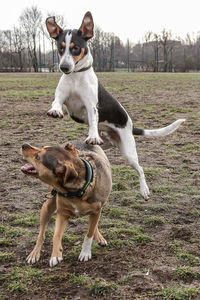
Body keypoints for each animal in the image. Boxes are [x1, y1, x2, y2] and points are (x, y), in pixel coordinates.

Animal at [45, 11, 184, 200]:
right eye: (61, 48)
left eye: (75, 48)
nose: (64, 67)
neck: (75, 76)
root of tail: (129, 126)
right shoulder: (63, 98)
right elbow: (57, 102)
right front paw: (55, 110)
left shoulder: (91, 106)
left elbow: (93, 119)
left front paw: (93, 134)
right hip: (107, 145)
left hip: (128, 152)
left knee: (140, 169)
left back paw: (144, 190)